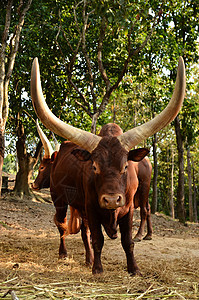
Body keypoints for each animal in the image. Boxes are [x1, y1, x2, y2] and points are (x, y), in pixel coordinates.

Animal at [30, 57, 185, 276]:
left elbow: (127, 241)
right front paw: (97, 268)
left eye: (125, 167)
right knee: (62, 225)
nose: (111, 199)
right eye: (94, 167)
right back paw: (66, 254)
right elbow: (96, 239)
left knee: (142, 211)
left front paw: (134, 269)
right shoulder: (91, 207)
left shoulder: (128, 208)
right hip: (59, 199)